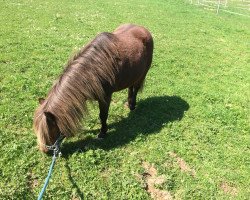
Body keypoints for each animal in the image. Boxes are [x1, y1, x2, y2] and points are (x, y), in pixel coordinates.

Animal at [33, 23, 152, 152]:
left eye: (48, 132)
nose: (45, 151)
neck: (93, 71)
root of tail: (142, 29)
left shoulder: (105, 98)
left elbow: (103, 115)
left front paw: (103, 133)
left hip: (142, 74)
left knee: (135, 89)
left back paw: (132, 105)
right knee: (130, 88)